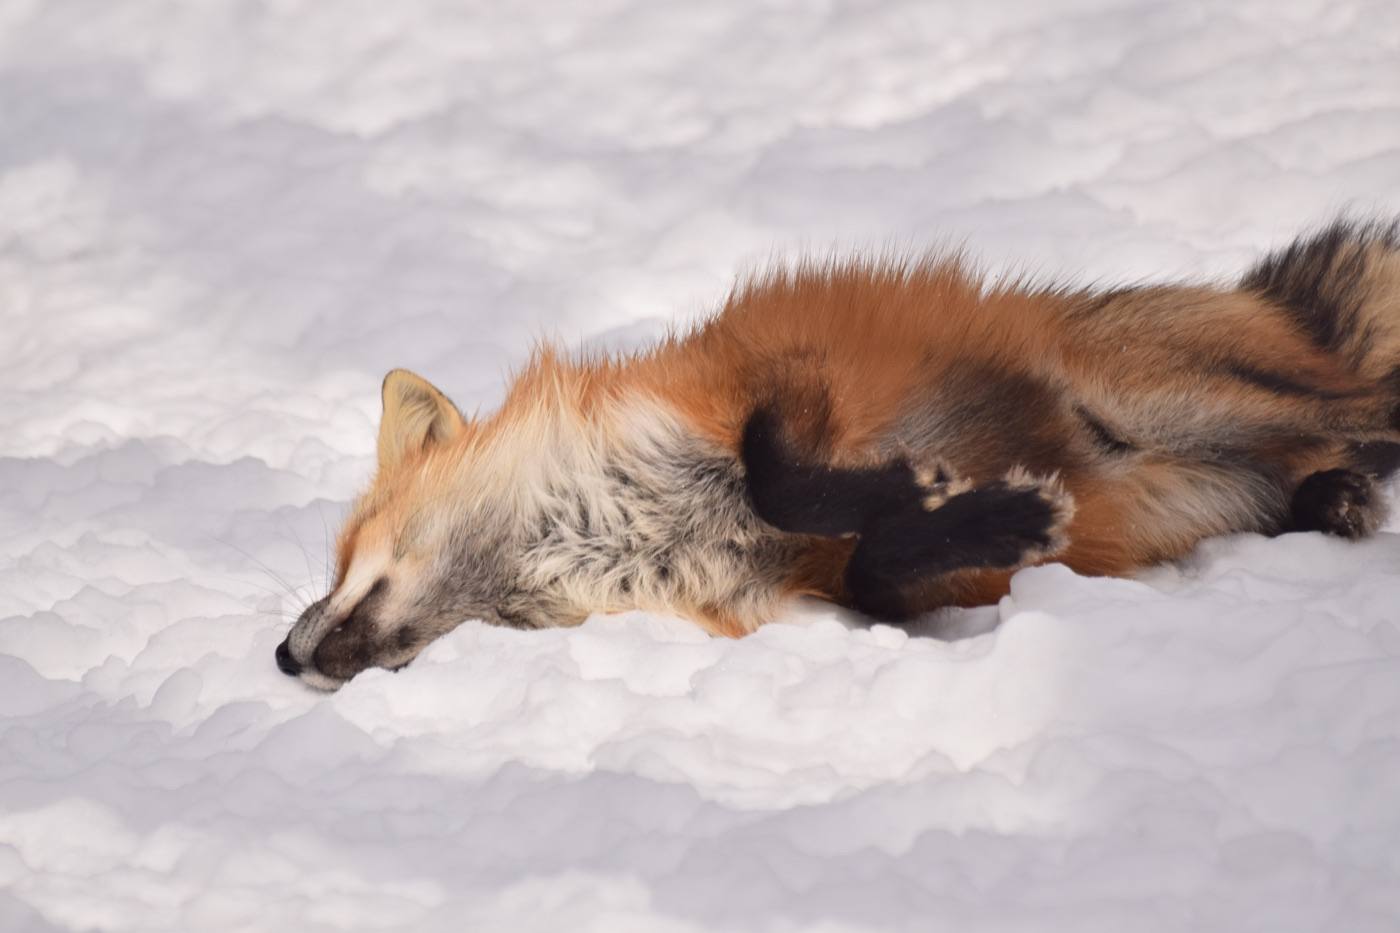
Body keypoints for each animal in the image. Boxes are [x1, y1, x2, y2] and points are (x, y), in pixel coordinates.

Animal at [277, 218, 1400, 690]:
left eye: (346, 561)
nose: (282, 655)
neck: (621, 527)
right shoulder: (833, 595)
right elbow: (880, 565)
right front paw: (981, 515)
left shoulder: (779, 378)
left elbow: (785, 474)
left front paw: (929, 489)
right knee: (1319, 470)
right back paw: (1336, 500)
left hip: (1166, 399)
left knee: (1368, 415)